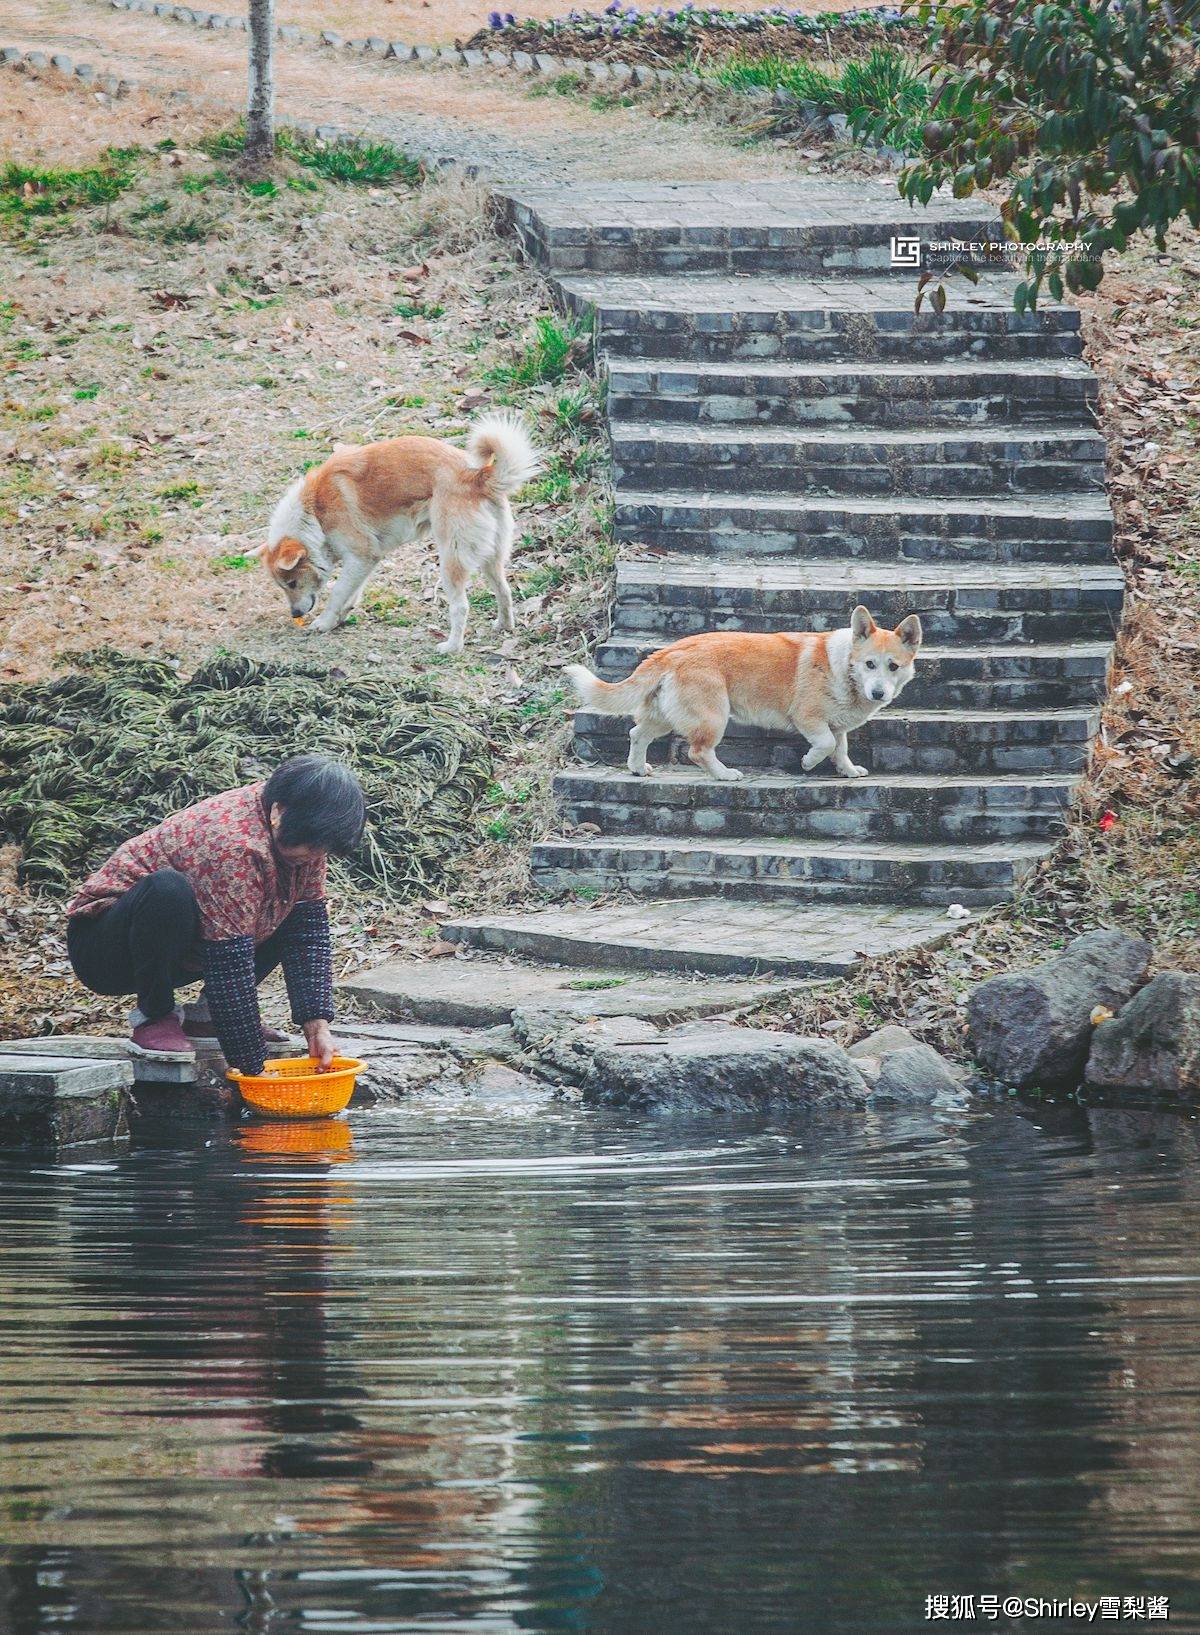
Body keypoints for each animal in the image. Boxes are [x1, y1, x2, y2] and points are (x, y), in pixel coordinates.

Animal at [264, 412, 546, 654]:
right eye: (283, 586)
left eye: (292, 583)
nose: (295, 615)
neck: (314, 512)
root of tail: (477, 476)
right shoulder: (363, 562)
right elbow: (351, 593)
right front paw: (340, 618)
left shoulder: (361, 556)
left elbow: (337, 593)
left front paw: (323, 623)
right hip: (491, 558)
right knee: (504, 591)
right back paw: (504, 626)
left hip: (451, 561)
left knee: (460, 607)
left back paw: (451, 647)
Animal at [568, 608, 928, 784]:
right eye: (870, 664)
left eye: (893, 666)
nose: (879, 693)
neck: (844, 667)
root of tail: (672, 650)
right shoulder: (808, 718)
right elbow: (825, 745)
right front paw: (808, 763)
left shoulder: (837, 727)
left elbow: (840, 749)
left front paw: (849, 772)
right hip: (713, 717)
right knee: (698, 751)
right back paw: (724, 774)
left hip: (665, 717)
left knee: (636, 733)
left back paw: (637, 768)